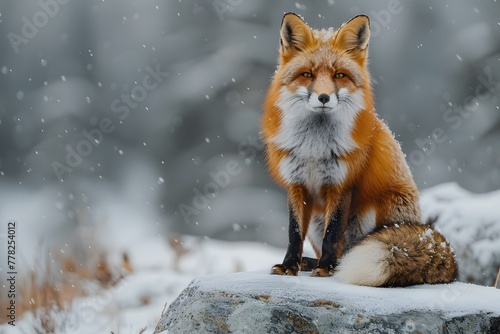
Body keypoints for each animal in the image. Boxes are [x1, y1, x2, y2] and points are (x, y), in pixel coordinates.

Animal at [264, 13, 458, 288]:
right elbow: (294, 233)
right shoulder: (296, 183)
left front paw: (325, 268)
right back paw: (310, 262)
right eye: (307, 74)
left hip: (373, 211)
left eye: (339, 75)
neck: (314, 148)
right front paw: (289, 265)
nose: (324, 97)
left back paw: (333, 265)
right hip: (316, 219)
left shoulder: (342, 183)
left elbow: (333, 233)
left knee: (347, 249)